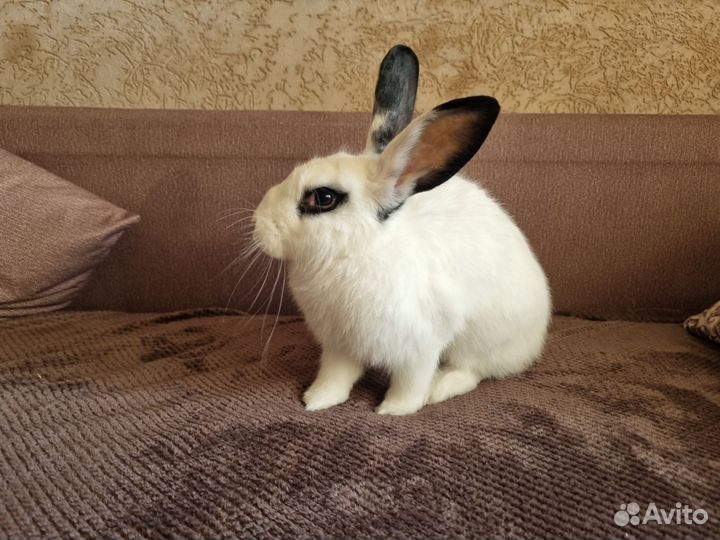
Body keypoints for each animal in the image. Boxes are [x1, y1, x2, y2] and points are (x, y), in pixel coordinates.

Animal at [253, 45, 551, 415]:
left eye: (323, 198)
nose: (258, 225)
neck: (354, 254)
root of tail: (535, 340)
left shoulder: (419, 346)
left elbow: (411, 381)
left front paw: (393, 410)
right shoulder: (340, 346)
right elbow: (335, 376)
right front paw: (316, 400)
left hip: (483, 341)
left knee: (472, 371)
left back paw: (439, 388)